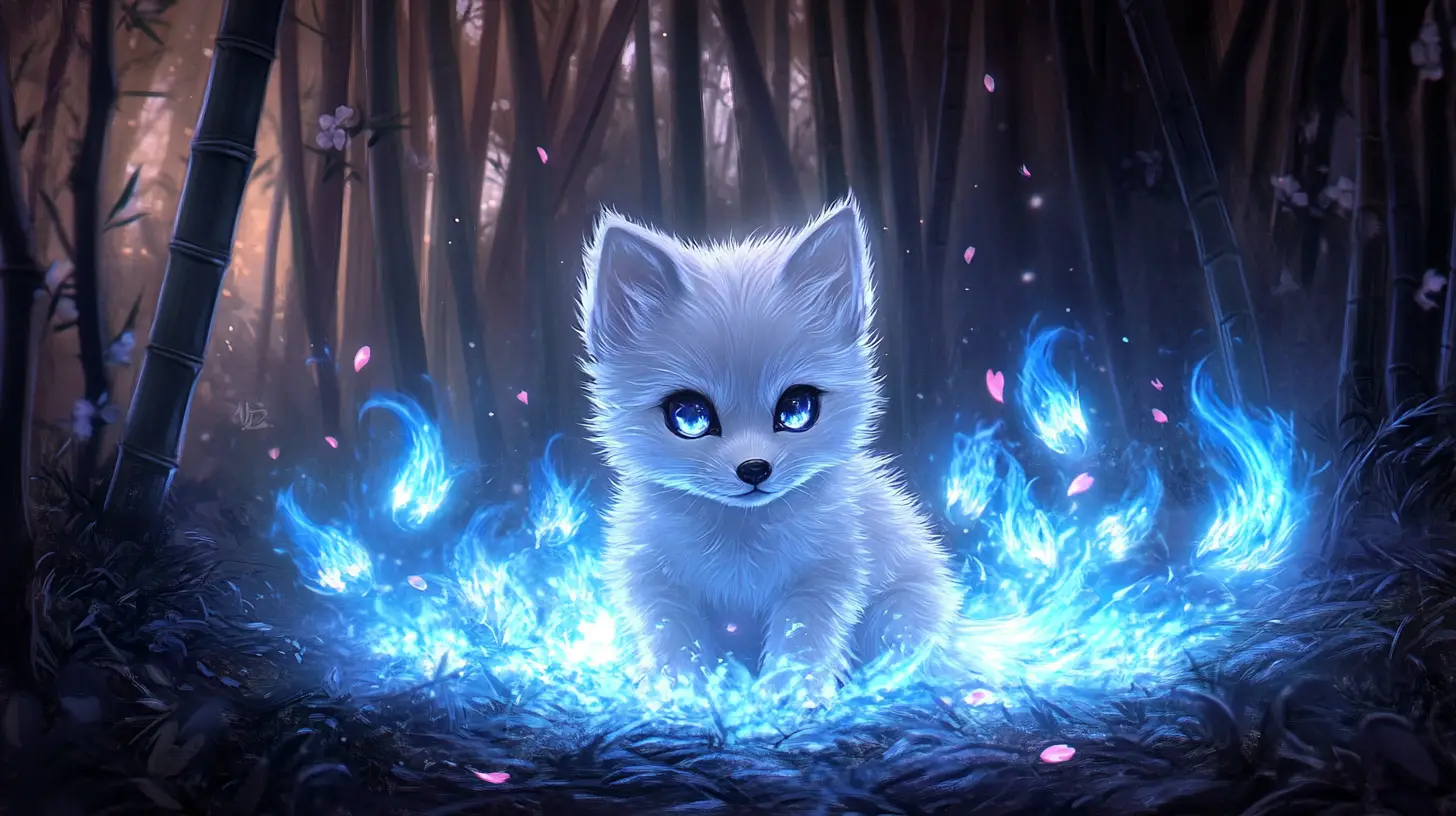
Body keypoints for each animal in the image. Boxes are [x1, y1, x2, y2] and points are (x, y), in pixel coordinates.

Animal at [577, 196, 961, 696]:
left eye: (797, 410)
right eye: (689, 417)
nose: (755, 468)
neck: (739, 537)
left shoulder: (826, 575)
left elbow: (802, 638)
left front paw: (787, 698)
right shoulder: (652, 581)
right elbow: (673, 638)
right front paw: (683, 694)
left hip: (901, 609)